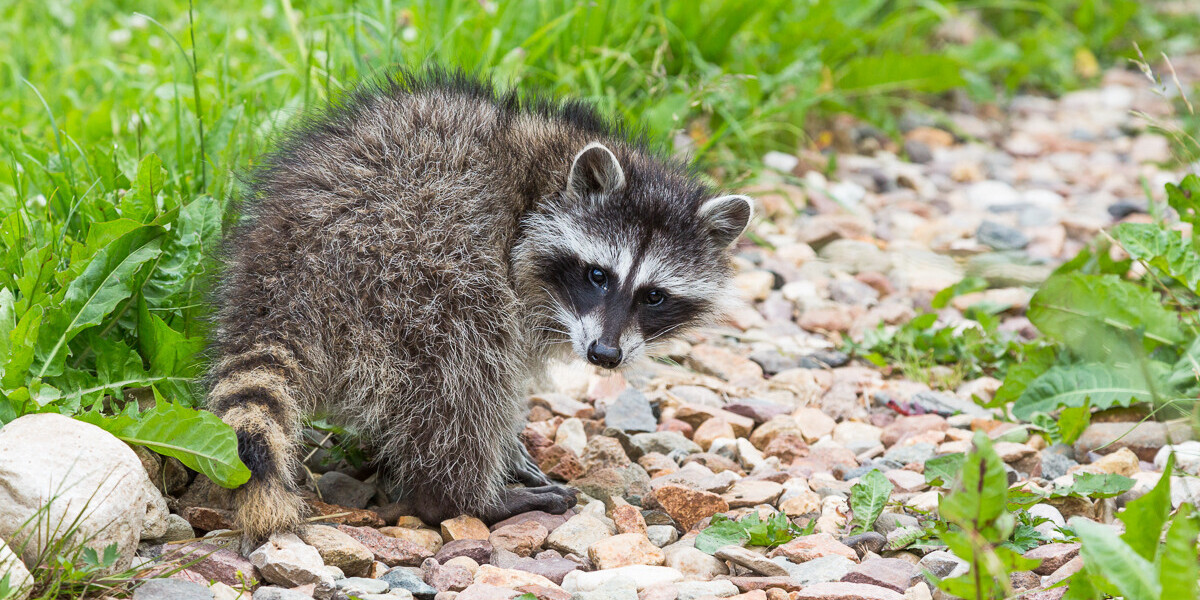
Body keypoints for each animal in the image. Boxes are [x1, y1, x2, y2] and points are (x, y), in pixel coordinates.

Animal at [206, 68, 748, 542]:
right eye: (598, 275)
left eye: (653, 296)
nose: (605, 355)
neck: (549, 177)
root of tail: (281, 270)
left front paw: (509, 448)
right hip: (407, 260)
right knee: (464, 363)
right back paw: (459, 497)